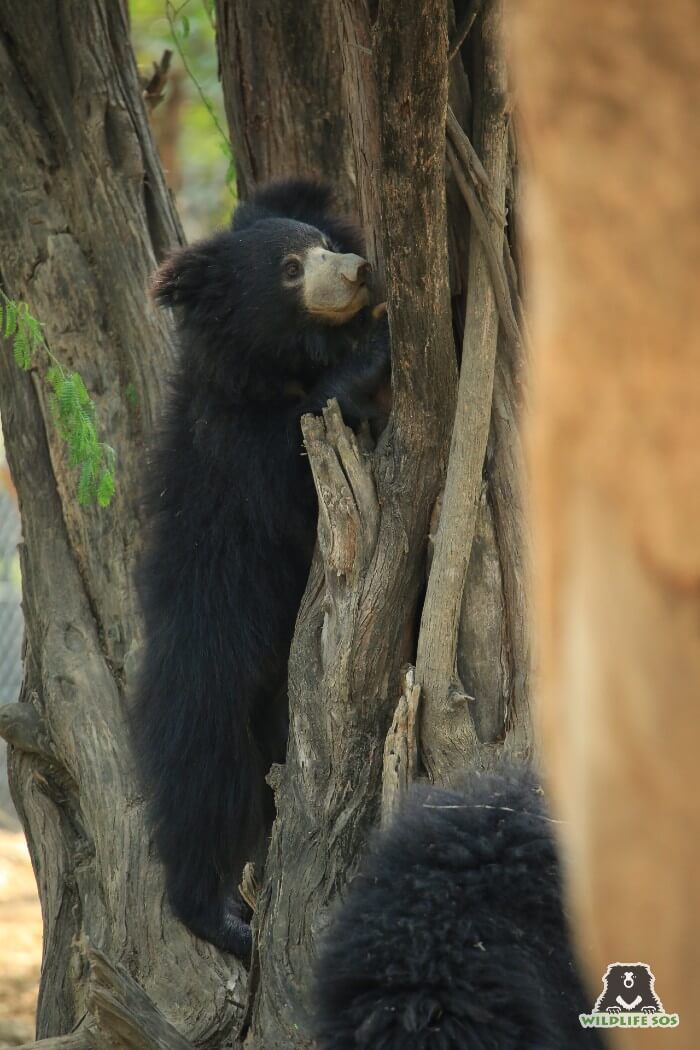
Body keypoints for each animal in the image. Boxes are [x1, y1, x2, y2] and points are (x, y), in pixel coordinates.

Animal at [131, 178, 388, 961]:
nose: (361, 271)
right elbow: (289, 458)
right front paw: (373, 353)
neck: (271, 370)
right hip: (208, 682)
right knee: (206, 791)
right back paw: (222, 922)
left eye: (326, 244)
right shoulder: (237, 451)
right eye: (289, 270)